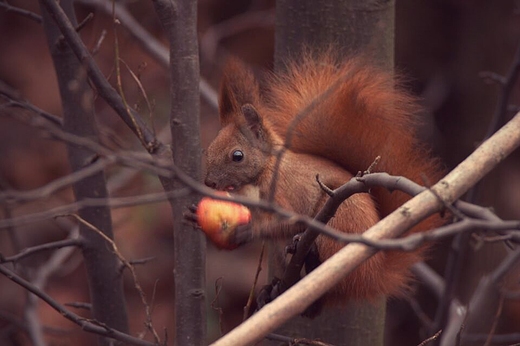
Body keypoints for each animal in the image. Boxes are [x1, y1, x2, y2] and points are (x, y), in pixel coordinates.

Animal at [202, 51, 442, 306]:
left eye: (237, 156)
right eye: (208, 149)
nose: (209, 183)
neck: (262, 173)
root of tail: (373, 272)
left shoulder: (283, 192)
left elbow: (287, 221)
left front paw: (247, 232)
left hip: (339, 219)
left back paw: (308, 253)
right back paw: (275, 289)